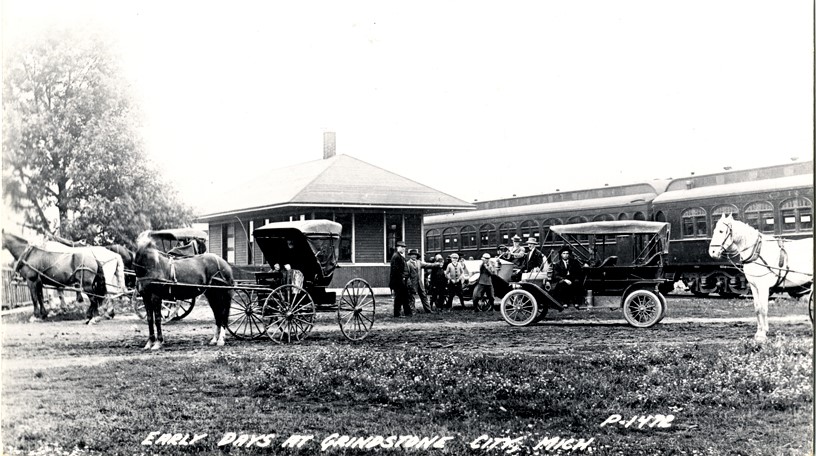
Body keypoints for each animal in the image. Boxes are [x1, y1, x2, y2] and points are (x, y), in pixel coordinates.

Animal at [704, 214, 812, 342]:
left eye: (721, 231)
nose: (712, 252)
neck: (757, 251)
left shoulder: (763, 286)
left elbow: (763, 308)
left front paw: (763, 334)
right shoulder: (754, 286)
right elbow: (757, 308)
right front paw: (759, 332)